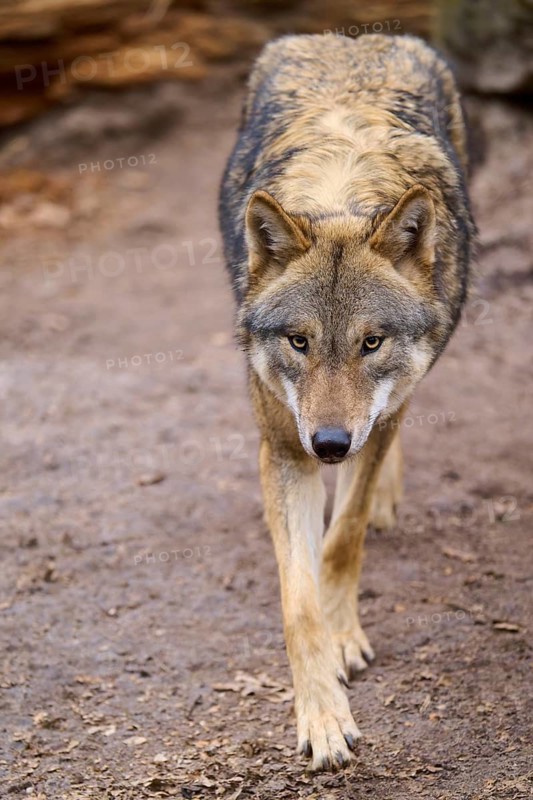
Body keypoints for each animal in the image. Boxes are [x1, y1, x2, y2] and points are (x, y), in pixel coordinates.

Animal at [219, 33, 474, 772]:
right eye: (299, 341)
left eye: (371, 342)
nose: (329, 444)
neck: (340, 191)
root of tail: (351, 38)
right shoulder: (283, 447)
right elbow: (298, 602)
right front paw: (323, 717)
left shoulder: (373, 419)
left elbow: (343, 537)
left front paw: (343, 638)